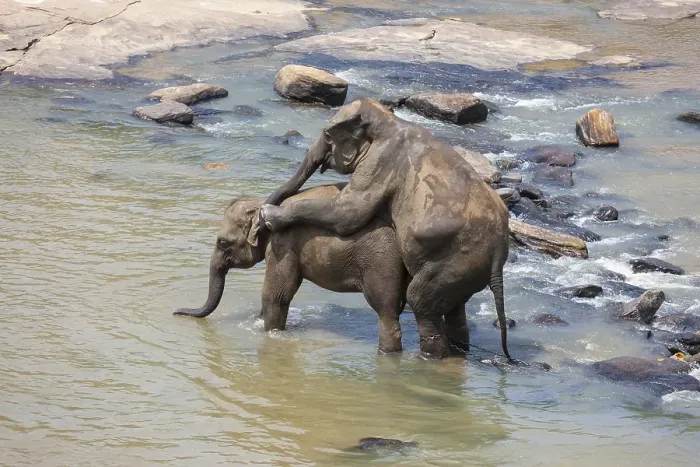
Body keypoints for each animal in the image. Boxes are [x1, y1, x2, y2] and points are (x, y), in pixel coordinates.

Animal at [174, 183, 419, 354]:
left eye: (223, 243)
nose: (176, 311)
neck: (263, 203)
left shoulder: (282, 244)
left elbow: (275, 295)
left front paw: (271, 333)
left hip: (382, 263)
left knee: (386, 310)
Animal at [260, 98, 511, 360]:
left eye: (328, 135)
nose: (259, 218)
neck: (388, 120)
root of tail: (498, 253)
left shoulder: (380, 163)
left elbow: (348, 212)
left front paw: (268, 215)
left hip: (455, 262)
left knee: (420, 301)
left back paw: (427, 357)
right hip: (466, 271)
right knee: (456, 311)